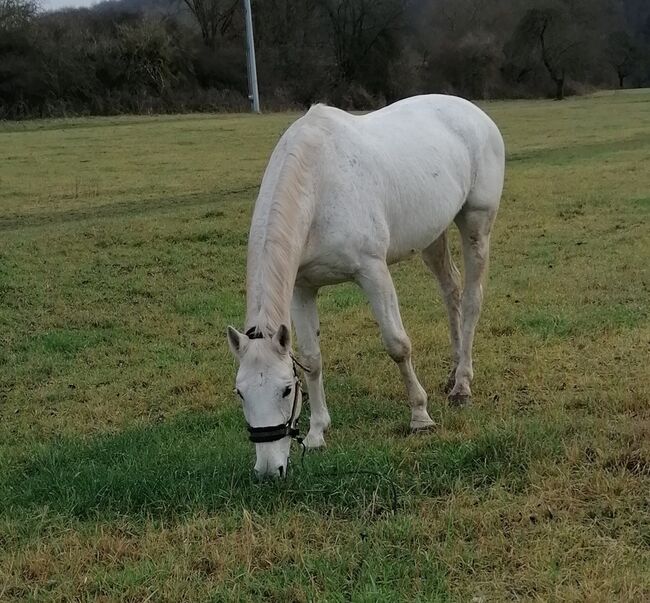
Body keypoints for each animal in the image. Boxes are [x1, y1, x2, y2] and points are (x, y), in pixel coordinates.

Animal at [225, 94, 504, 478]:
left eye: (285, 390)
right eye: (241, 393)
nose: (269, 469)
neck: (318, 184)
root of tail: (474, 112)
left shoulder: (373, 272)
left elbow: (397, 345)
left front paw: (420, 417)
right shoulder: (302, 287)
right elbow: (311, 359)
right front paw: (317, 433)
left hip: (477, 223)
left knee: (473, 298)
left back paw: (462, 385)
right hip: (432, 234)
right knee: (452, 292)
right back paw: (453, 373)